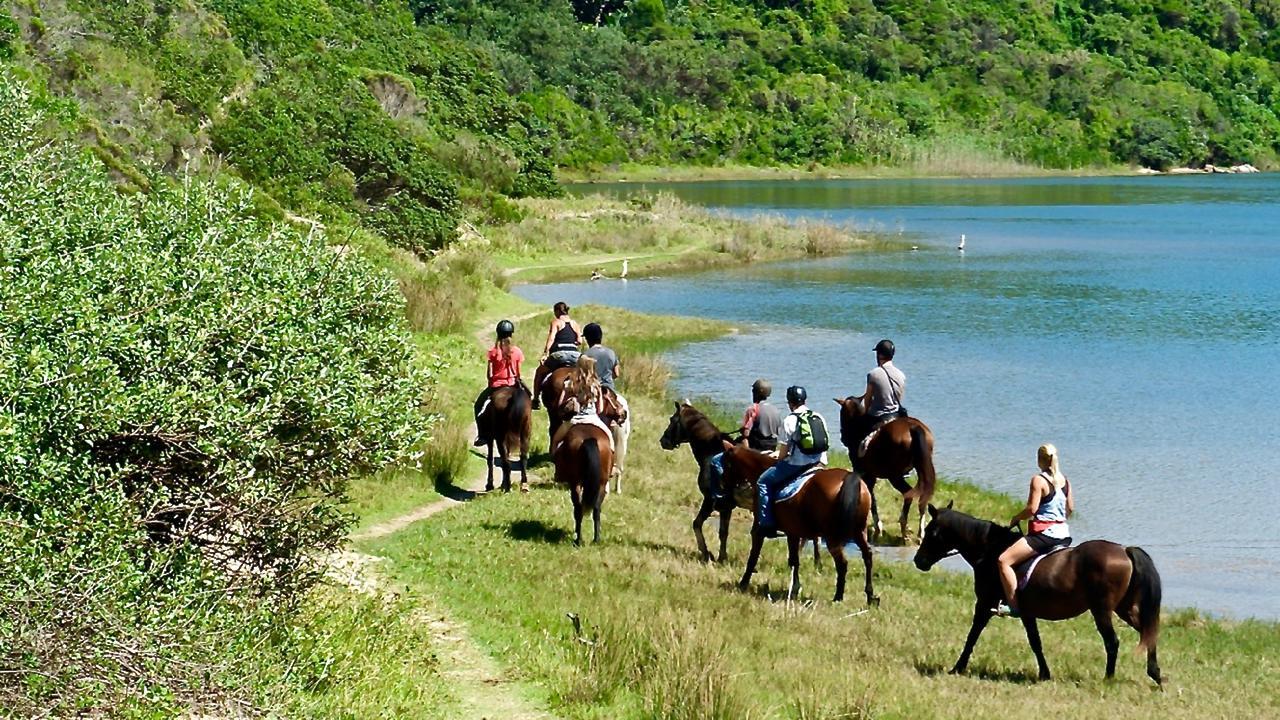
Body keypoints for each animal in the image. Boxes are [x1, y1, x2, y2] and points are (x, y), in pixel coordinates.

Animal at [721, 440, 880, 602]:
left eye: (726, 464)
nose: (722, 484)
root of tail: (849, 479)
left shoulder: (759, 530)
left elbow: (754, 556)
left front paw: (743, 582)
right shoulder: (793, 533)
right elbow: (794, 560)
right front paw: (795, 588)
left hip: (832, 537)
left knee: (842, 563)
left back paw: (838, 596)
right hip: (859, 531)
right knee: (867, 556)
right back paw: (870, 595)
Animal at [834, 394, 936, 540]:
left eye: (842, 414)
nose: (843, 437)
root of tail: (912, 427)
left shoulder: (867, 475)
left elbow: (871, 499)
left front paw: (878, 528)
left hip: (894, 476)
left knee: (908, 494)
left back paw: (904, 527)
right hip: (919, 470)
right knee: (922, 497)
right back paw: (919, 531)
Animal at [916, 502, 1167, 681]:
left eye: (931, 531)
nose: (919, 561)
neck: (990, 550)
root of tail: (1124, 550)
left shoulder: (985, 605)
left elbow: (972, 636)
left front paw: (957, 668)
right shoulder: (1027, 613)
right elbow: (1035, 642)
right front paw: (1044, 674)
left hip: (1102, 610)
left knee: (1112, 642)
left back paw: (1109, 679)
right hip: (1124, 608)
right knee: (1148, 632)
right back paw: (1155, 675)